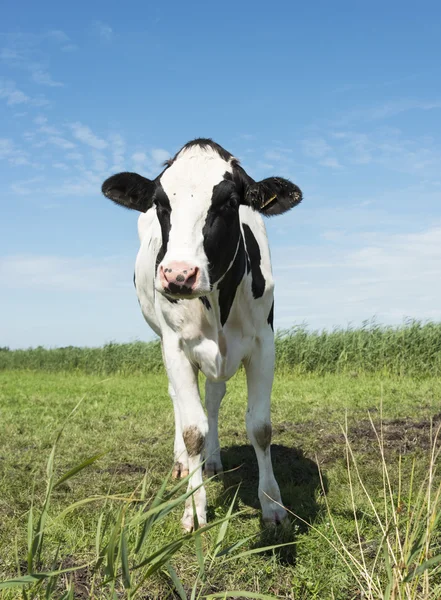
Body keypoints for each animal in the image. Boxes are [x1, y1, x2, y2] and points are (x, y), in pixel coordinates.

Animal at [101, 139, 300, 528]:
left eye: (229, 202)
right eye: (161, 203)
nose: (179, 275)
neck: (217, 303)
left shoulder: (263, 343)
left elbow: (260, 427)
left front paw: (272, 505)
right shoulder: (176, 346)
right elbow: (193, 430)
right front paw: (194, 507)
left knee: (213, 399)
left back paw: (213, 460)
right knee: (179, 401)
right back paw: (183, 463)